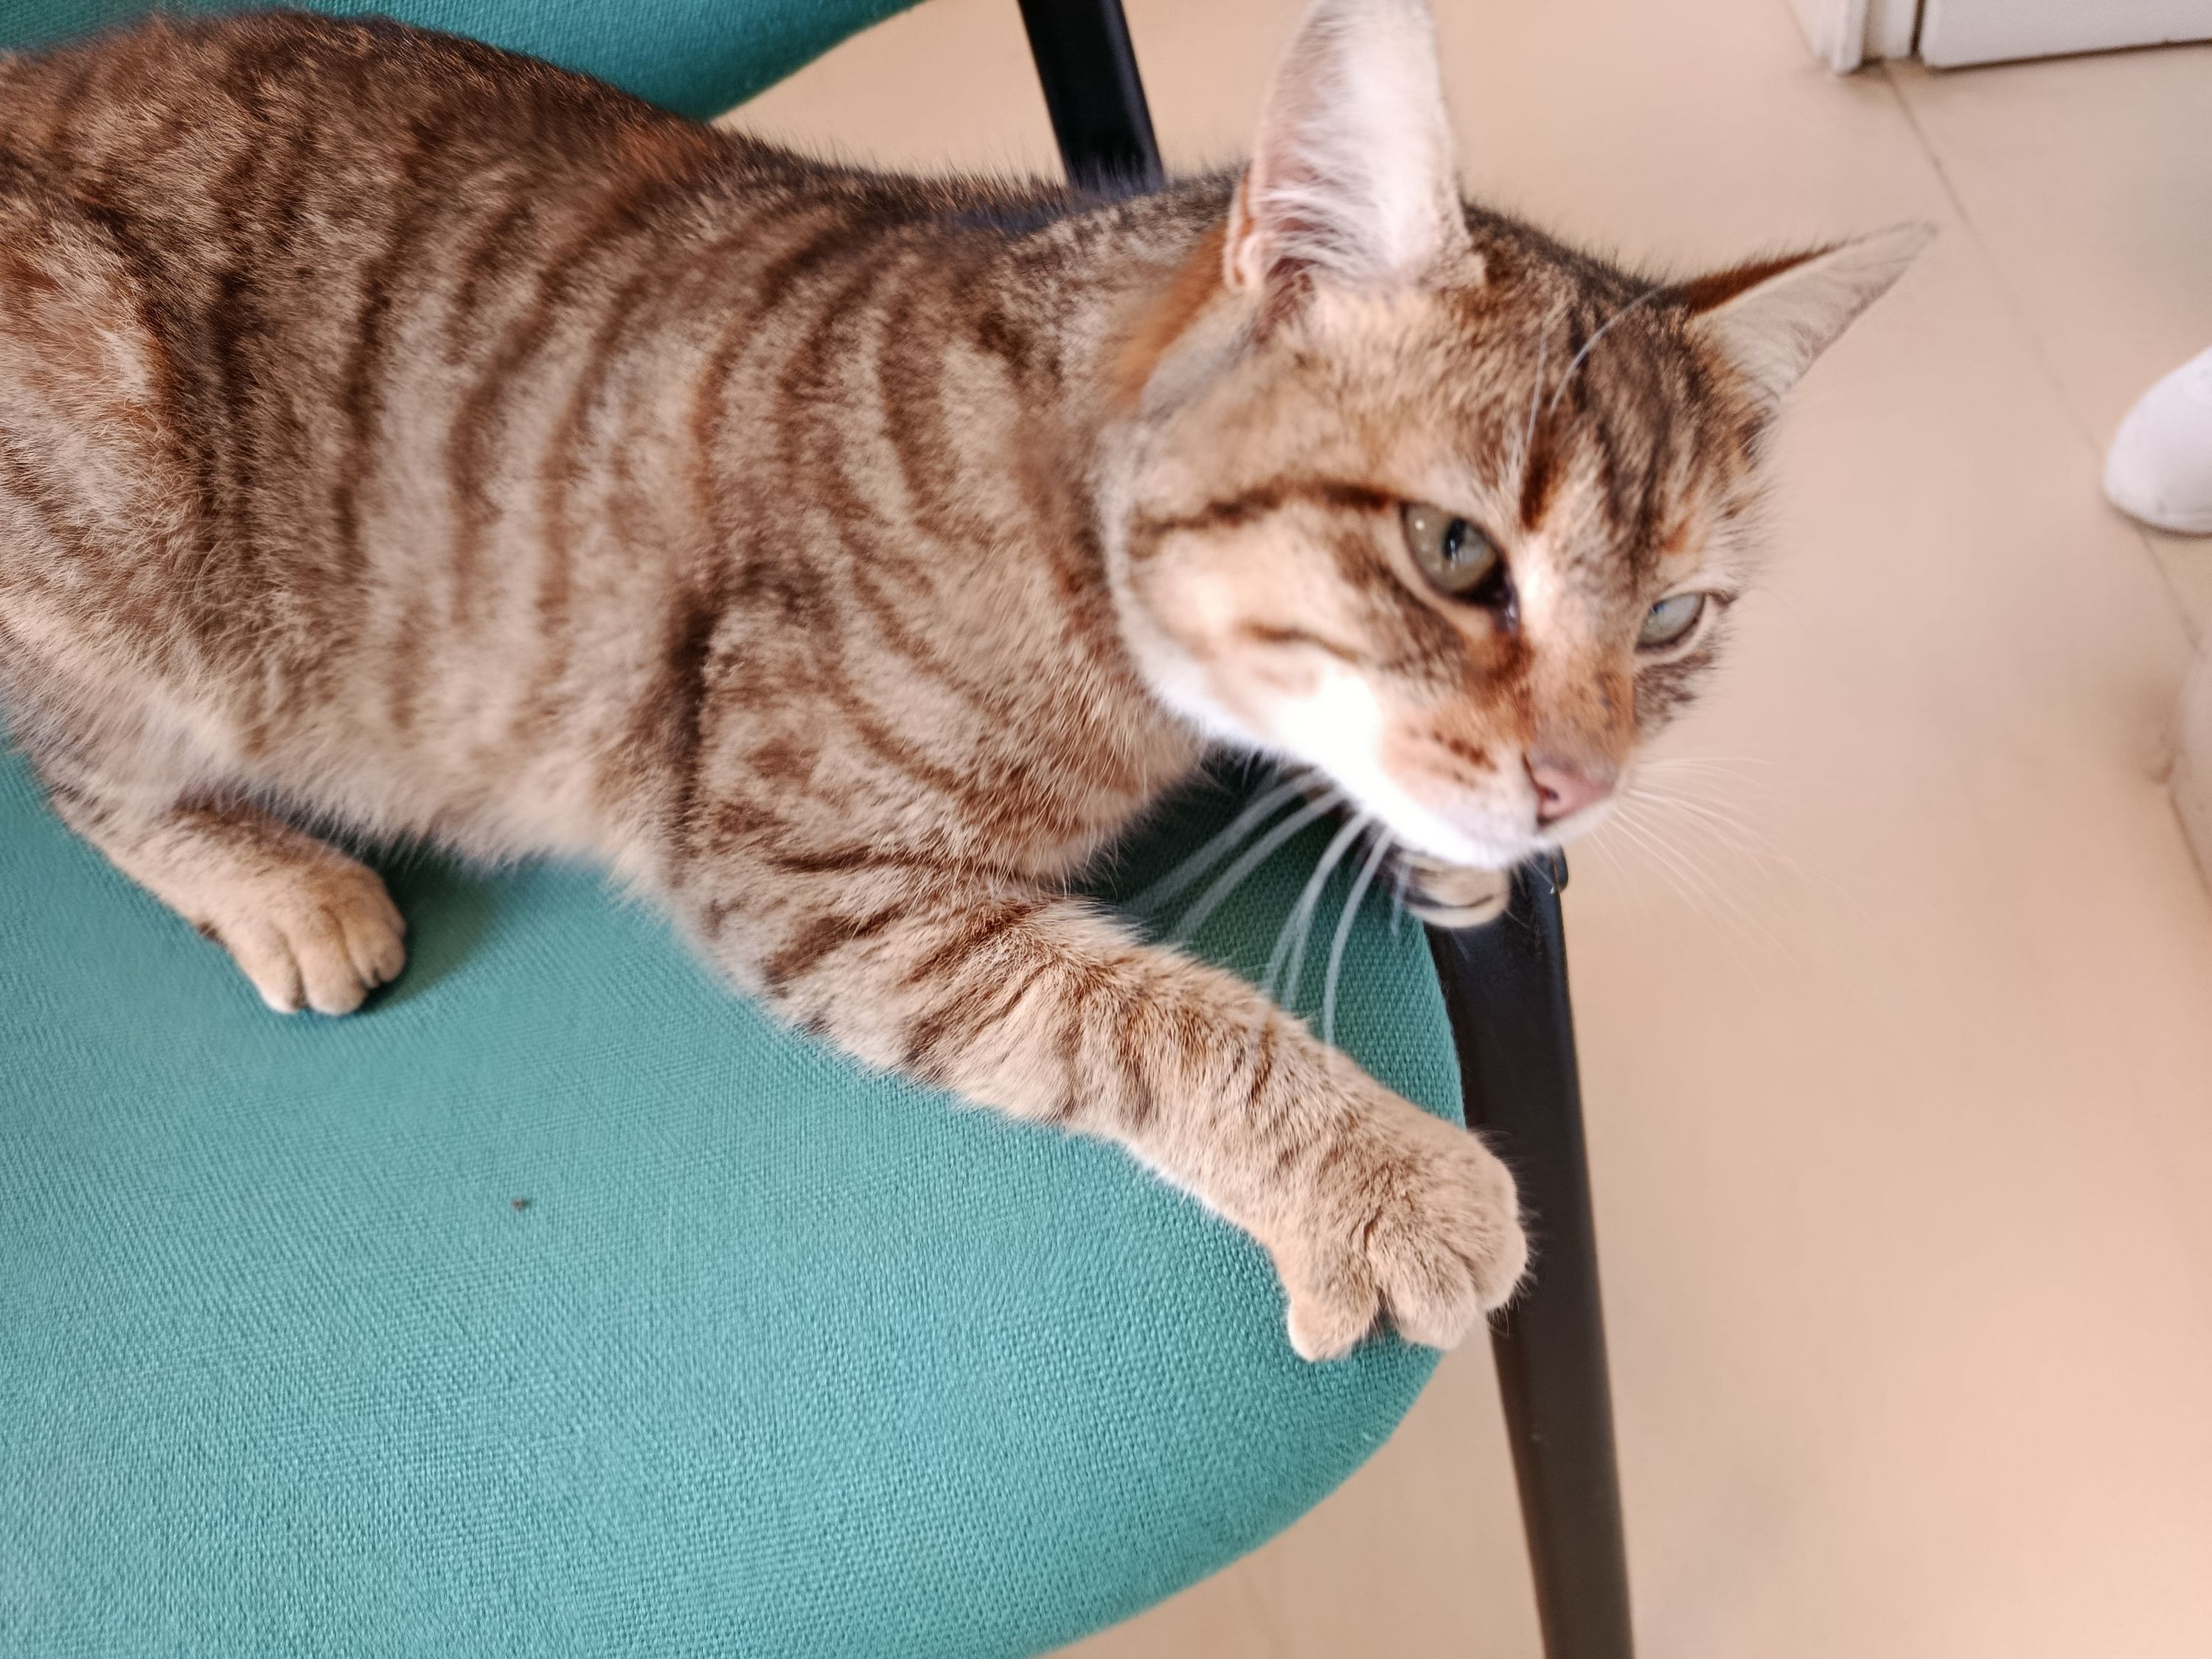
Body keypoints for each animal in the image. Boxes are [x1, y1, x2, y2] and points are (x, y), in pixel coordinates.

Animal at [0, 0, 1922, 1359]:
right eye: (1459, 554)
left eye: (1671, 620)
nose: (1582, 783)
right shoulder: (803, 868)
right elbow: (1140, 1016)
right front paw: (1375, 1176)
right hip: (122, 535)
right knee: (80, 775)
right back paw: (270, 876)